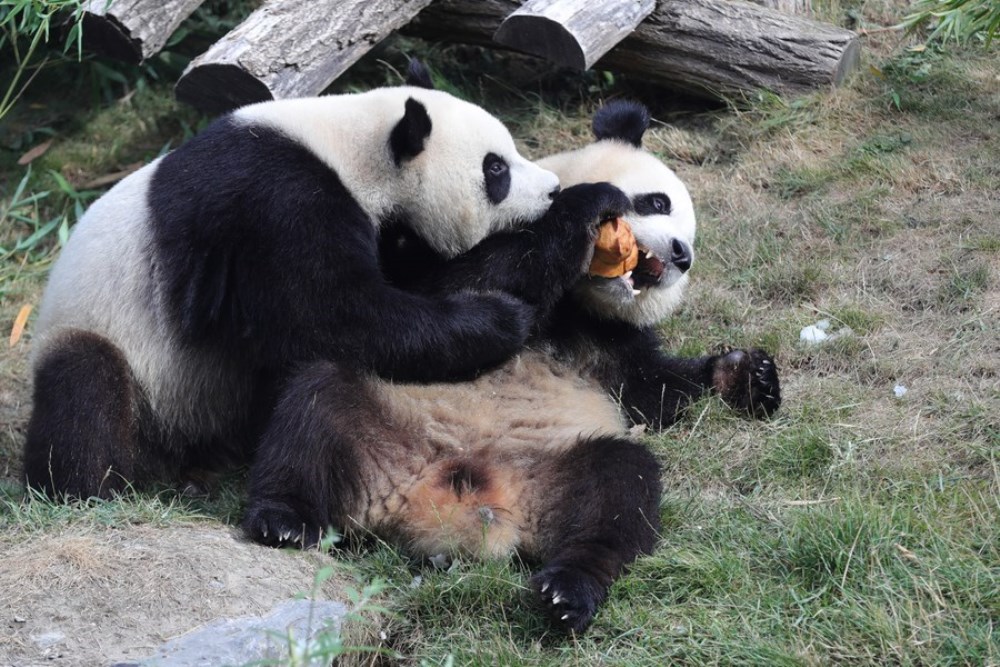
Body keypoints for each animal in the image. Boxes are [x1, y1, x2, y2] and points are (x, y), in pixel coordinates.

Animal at [22, 62, 624, 500]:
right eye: (495, 168)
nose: (548, 188)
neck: (351, 143)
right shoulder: (276, 203)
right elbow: (332, 315)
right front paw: (504, 315)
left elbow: (425, 282)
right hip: (115, 341)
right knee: (85, 386)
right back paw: (97, 485)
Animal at [242, 95, 781, 633]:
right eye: (657, 202)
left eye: (690, 252)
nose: (681, 255)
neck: (574, 303)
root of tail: (451, 507)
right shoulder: (429, 249)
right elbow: (446, 295)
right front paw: (587, 207)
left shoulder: (610, 340)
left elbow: (652, 392)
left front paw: (749, 375)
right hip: (380, 418)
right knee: (317, 405)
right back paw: (283, 519)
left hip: (553, 468)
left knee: (620, 489)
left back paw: (568, 590)